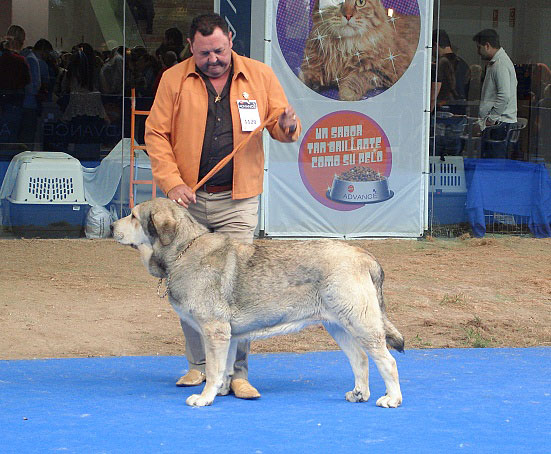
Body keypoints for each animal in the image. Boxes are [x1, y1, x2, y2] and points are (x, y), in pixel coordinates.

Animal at [113, 199, 406, 408]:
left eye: (134, 216)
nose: (113, 227)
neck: (184, 248)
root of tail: (364, 255)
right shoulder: (228, 335)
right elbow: (225, 368)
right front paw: (221, 391)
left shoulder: (214, 330)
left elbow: (214, 368)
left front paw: (205, 398)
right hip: (338, 326)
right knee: (360, 359)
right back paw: (359, 393)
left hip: (362, 323)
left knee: (387, 361)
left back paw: (391, 399)